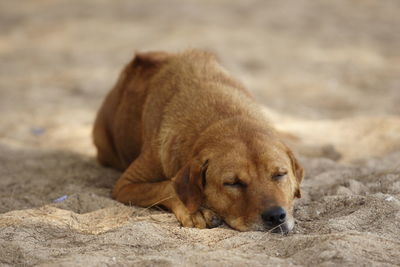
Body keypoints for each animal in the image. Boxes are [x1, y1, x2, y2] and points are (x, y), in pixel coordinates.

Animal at [93, 50, 304, 234]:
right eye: (233, 183)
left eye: (280, 174)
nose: (275, 216)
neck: (224, 116)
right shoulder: (125, 185)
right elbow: (168, 185)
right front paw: (196, 210)